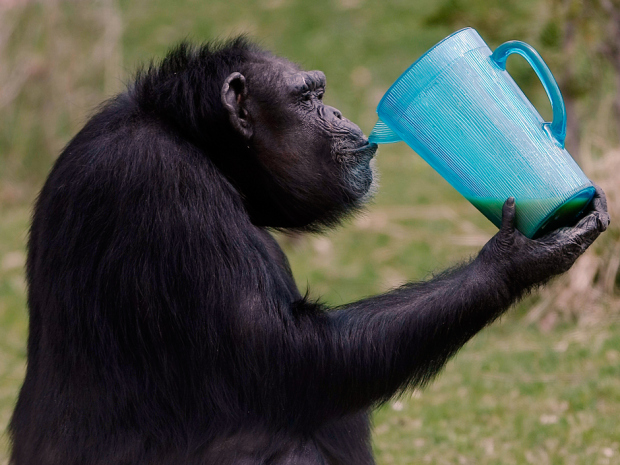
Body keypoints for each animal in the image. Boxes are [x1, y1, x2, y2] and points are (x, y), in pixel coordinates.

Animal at [10, 37, 612, 464]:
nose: (342, 112)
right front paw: (515, 258)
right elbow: (287, 357)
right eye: (309, 97)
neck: (205, 149)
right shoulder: (164, 188)